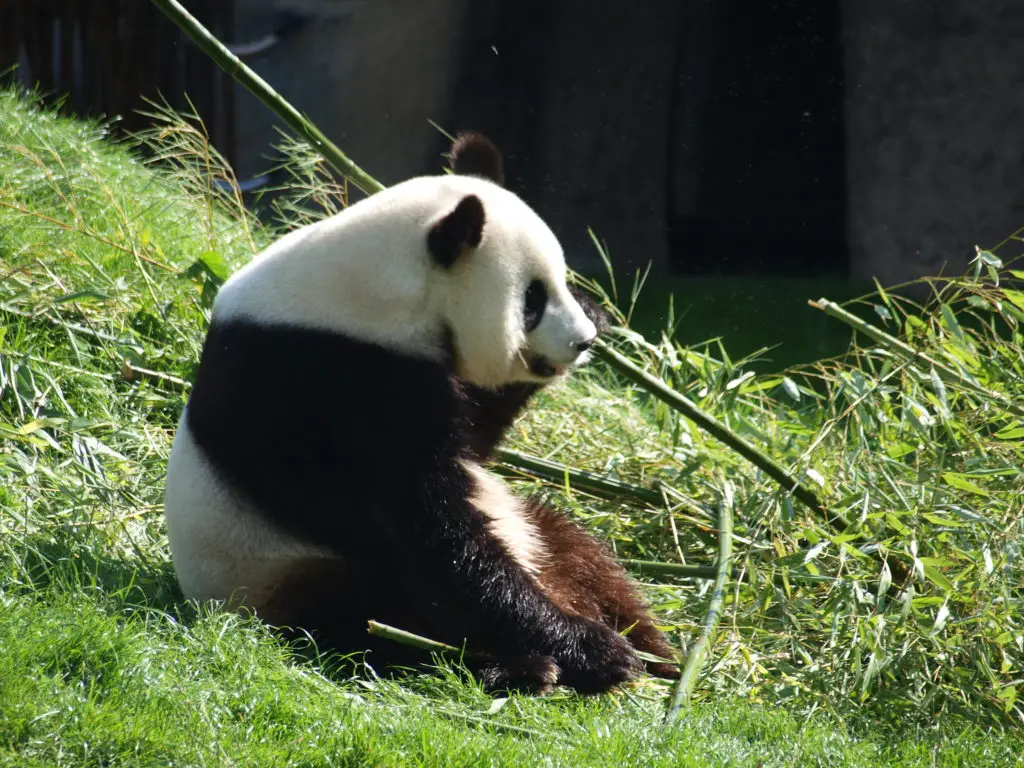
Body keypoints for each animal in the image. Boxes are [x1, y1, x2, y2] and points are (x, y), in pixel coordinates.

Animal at [163, 132, 679, 696]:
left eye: (561, 281)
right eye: (532, 300)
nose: (582, 341)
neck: (373, 288)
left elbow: (474, 441)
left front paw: (597, 311)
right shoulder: (329, 383)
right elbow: (427, 532)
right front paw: (595, 651)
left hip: (530, 528)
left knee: (582, 553)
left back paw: (655, 651)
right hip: (275, 572)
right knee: (369, 618)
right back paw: (524, 666)